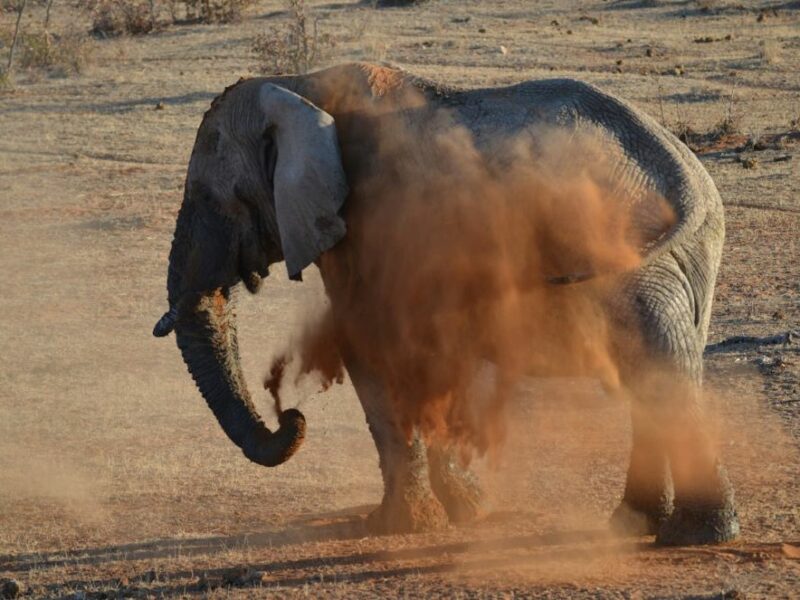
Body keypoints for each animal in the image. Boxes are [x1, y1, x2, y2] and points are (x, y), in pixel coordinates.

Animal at [153, 62, 739, 546]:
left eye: (215, 199)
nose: (289, 416)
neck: (299, 87)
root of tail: (684, 175)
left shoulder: (378, 220)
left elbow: (376, 348)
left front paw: (398, 526)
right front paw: (467, 512)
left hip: (630, 257)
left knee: (661, 368)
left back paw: (693, 536)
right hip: (684, 256)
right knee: (658, 371)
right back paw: (635, 526)